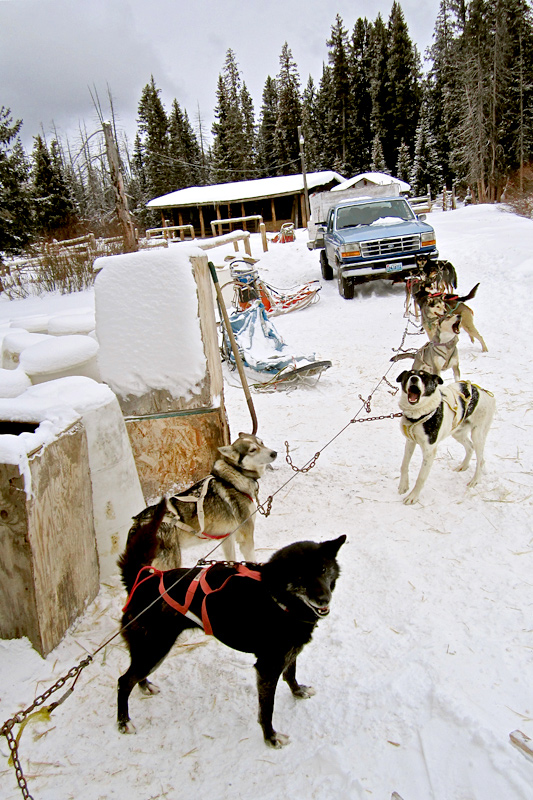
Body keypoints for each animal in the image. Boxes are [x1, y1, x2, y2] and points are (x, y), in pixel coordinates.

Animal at [117, 536, 348, 748]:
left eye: (323, 569)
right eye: (300, 576)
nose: (324, 599)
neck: (275, 596)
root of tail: (142, 580)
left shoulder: (289, 652)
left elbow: (290, 674)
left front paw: (298, 691)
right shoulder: (267, 668)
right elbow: (267, 709)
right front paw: (270, 737)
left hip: (148, 652)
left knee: (134, 675)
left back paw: (145, 687)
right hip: (154, 650)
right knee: (124, 680)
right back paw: (123, 722)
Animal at [122, 432, 276, 568]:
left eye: (262, 443)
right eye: (252, 450)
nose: (274, 453)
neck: (236, 475)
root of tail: (138, 523)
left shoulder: (227, 538)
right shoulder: (246, 538)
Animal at [394, 370, 494, 506]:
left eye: (424, 376)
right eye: (410, 374)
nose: (414, 378)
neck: (418, 415)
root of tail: (484, 391)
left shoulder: (429, 451)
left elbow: (421, 477)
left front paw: (413, 496)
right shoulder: (410, 441)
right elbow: (404, 465)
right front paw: (403, 486)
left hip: (478, 434)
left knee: (481, 459)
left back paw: (475, 480)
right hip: (457, 432)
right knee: (470, 447)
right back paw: (463, 465)